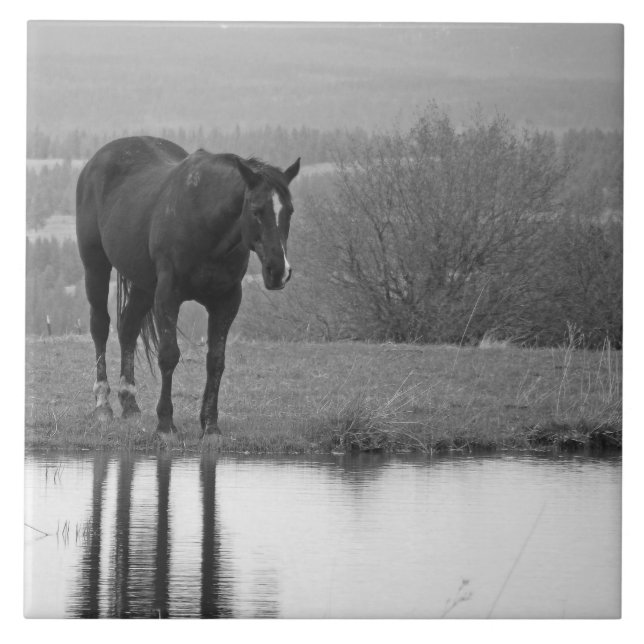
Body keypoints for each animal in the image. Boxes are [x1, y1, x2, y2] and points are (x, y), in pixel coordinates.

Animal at [76, 136, 300, 435]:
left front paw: (210, 425)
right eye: (256, 210)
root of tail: (97, 160)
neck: (205, 222)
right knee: (100, 327)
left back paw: (130, 402)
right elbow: (169, 355)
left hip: (144, 284)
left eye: (290, 210)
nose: (278, 271)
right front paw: (165, 423)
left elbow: (216, 361)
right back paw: (103, 404)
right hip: (96, 266)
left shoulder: (227, 301)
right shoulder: (167, 296)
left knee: (128, 328)